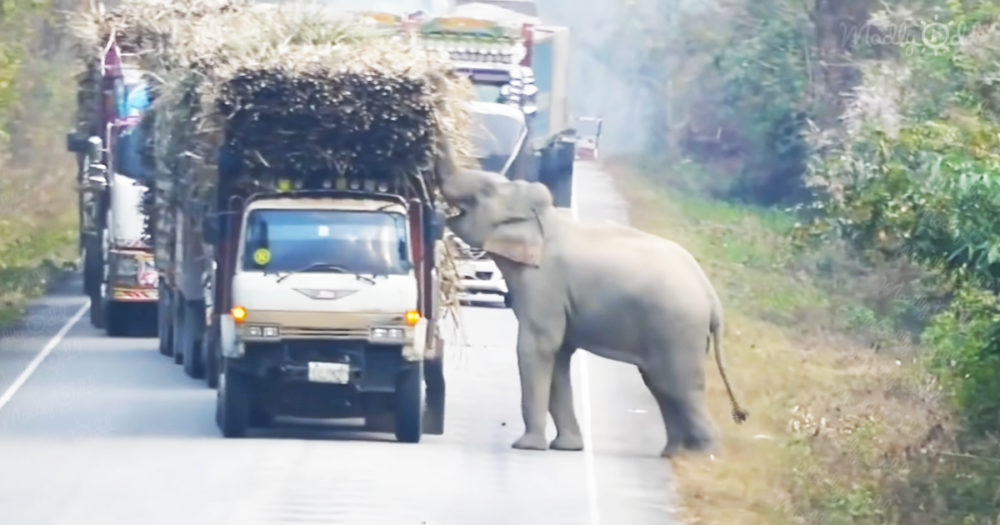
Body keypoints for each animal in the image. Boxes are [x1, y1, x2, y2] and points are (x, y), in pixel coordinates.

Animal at [438, 166, 749, 457]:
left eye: (486, 191)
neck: (547, 220)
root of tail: (711, 296)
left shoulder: (544, 284)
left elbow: (539, 347)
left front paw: (526, 446)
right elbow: (559, 355)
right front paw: (567, 447)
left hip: (678, 328)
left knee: (678, 385)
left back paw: (703, 456)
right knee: (660, 384)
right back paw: (672, 453)